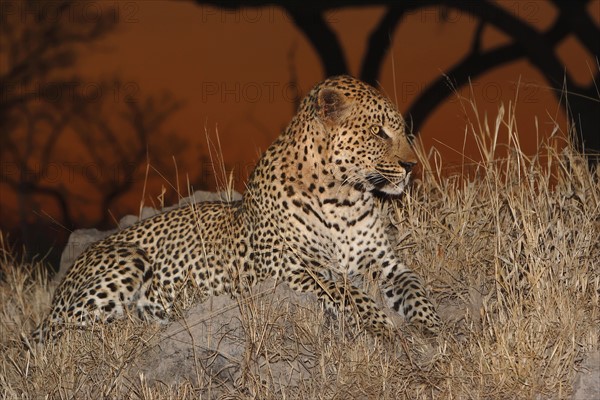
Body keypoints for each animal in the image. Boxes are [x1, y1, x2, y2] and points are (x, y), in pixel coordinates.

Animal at [31, 76, 440, 342]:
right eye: (379, 132)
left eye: (401, 130)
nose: (411, 165)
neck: (344, 198)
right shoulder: (293, 269)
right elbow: (347, 292)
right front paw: (381, 325)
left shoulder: (385, 263)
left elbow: (415, 287)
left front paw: (435, 329)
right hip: (125, 262)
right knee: (66, 331)